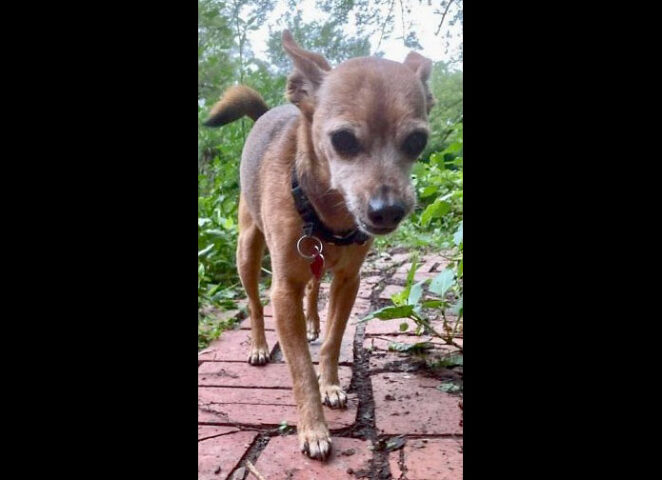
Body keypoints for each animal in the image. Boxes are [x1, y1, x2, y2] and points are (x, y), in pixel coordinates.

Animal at [204, 31, 436, 462]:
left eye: (417, 141)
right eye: (342, 140)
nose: (387, 211)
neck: (328, 216)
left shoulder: (348, 281)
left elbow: (331, 341)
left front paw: (331, 384)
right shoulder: (283, 291)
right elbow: (300, 369)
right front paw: (313, 428)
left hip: (313, 266)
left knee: (314, 290)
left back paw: (312, 321)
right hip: (247, 250)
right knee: (254, 304)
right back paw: (259, 345)